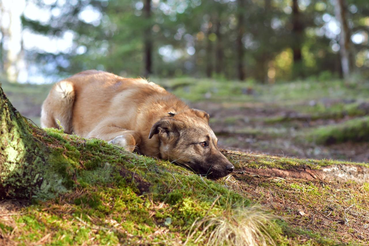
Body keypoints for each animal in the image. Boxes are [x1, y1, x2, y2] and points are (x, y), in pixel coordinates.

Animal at [41, 70, 233, 180]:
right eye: (203, 143)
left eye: (216, 143)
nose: (231, 168)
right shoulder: (101, 128)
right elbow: (134, 134)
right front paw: (120, 144)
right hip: (64, 93)